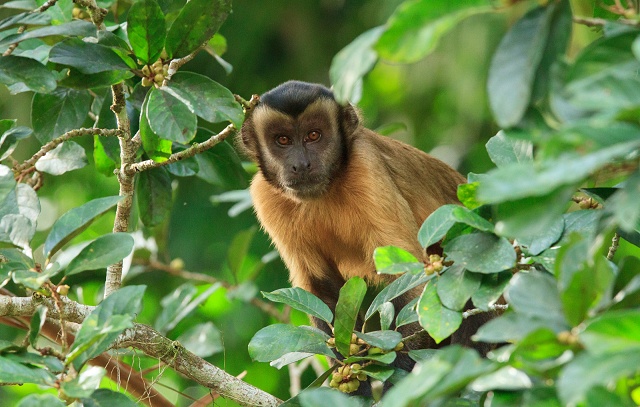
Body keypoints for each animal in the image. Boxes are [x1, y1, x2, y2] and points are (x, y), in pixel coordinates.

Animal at [238, 82, 492, 360]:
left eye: (313, 135)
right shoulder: (264, 196)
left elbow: (408, 276)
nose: (301, 164)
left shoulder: (366, 166)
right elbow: (320, 288)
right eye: (282, 140)